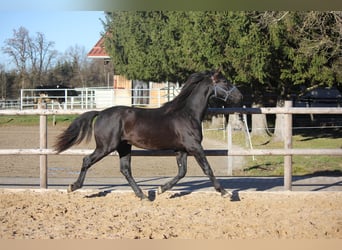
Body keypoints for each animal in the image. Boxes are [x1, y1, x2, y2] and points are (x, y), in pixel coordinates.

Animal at [54, 70, 243, 199]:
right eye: (225, 82)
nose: (240, 97)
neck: (187, 114)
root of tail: (100, 113)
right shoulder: (194, 147)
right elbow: (207, 169)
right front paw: (225, 192)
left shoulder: (181, 150)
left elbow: (182, 172)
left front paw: (160, 189)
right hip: (106, 146)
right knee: (87, 160)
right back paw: (73, 186)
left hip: (124, 147)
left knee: (125, 169)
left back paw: (143, 195)